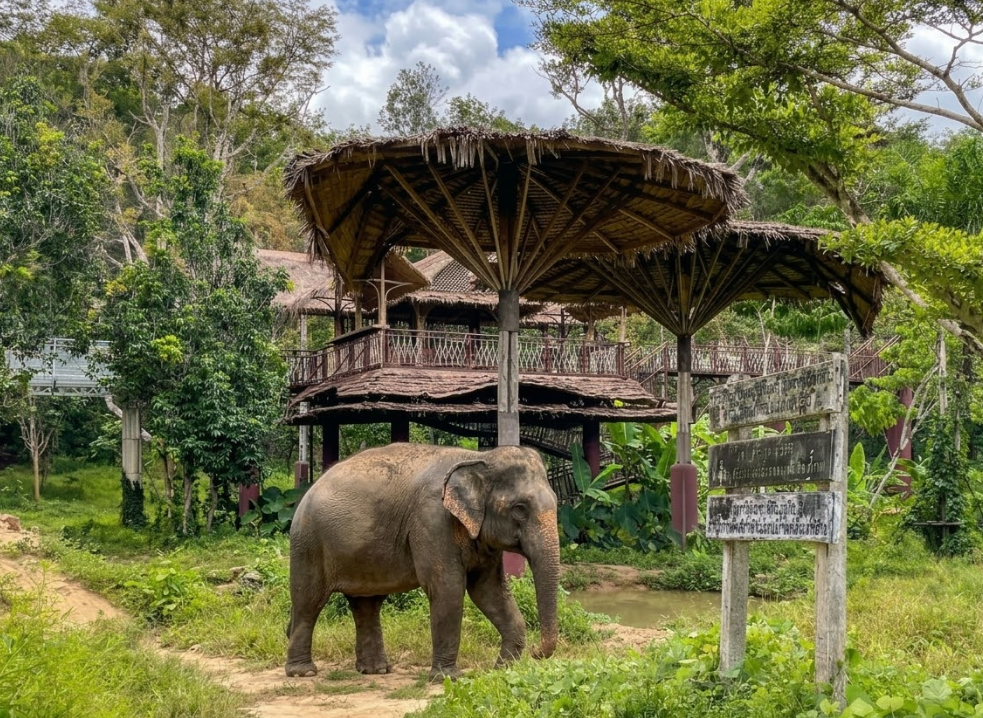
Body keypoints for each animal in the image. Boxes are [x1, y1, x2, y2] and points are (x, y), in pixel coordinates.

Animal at [285, 443, 560, 681]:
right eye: (519, 509)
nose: (536, 652)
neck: (479, 458)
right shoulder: (432, 520)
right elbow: (448, 588)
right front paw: (448, 678)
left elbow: (489, 591)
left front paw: (502, 671)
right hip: (308, 542)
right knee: (308, 601)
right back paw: (303, 672)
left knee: (366, 605)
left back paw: (375, 670)